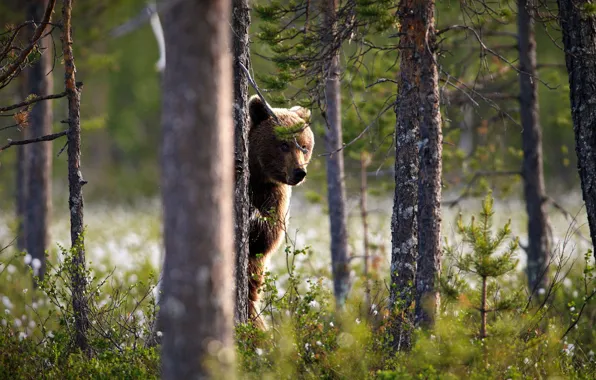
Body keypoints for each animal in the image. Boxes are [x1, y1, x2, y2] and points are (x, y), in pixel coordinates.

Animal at [246, 94, 314, 326]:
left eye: (304, 146)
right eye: (283, 145)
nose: (299, 172)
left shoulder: (276, 196)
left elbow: (268, 236)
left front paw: (255, 217)